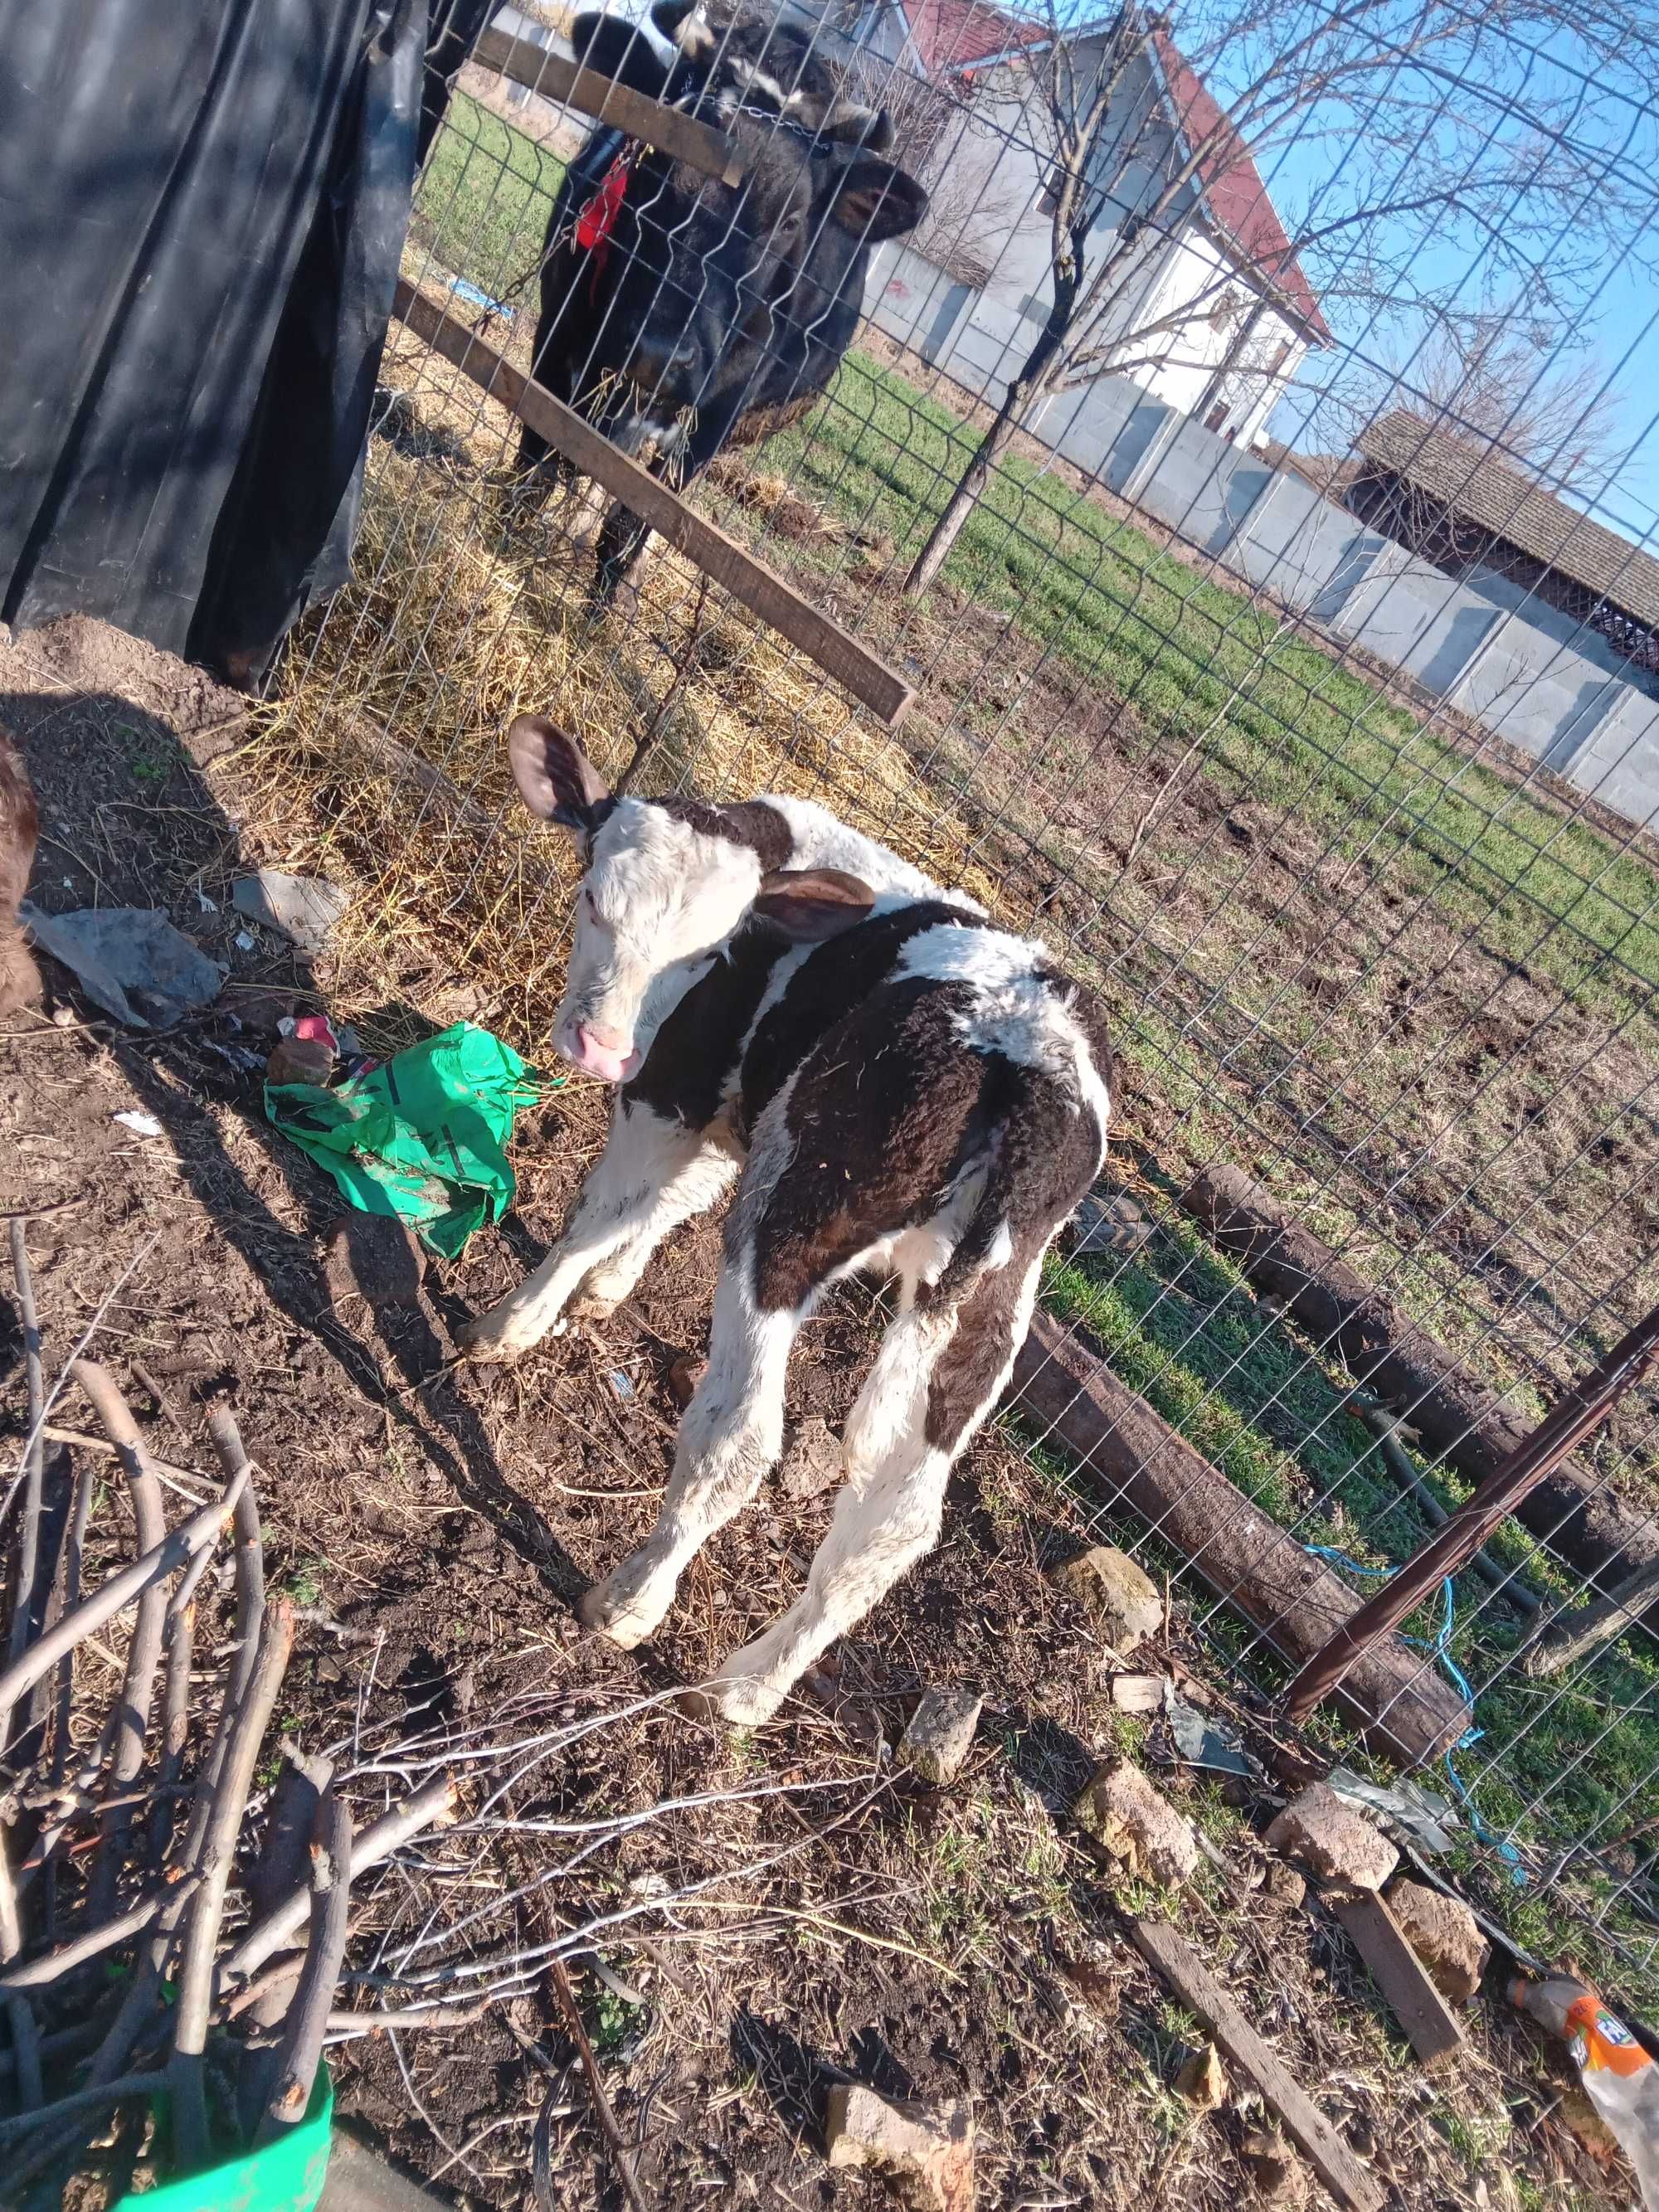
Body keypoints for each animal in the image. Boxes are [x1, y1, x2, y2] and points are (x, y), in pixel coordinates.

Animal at [469, 725, 1119, 1725]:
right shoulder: (740, 1109)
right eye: (592, 897)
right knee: (894, 1525)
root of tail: (1029, 1064)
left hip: (796, 1218)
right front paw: (607, 1289)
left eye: (711, 951)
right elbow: (669, 1201)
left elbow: (602, 1209)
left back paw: (627, 1605)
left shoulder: (674, 1084)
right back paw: (749, 1685)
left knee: (739, 1439)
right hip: (994, 1306)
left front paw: (514, 1321)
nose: (597, 1046)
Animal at [519, 0, 929, 605]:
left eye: (791, 221)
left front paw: (610, 603)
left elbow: (635, 517)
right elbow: (537, 462)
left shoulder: (715, 418)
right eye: (655, 157)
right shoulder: (556, 334)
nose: (659, 353)